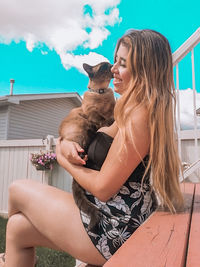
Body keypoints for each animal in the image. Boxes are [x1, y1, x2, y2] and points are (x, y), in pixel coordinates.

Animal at [58, 61, 115, 229]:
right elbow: (103, 118)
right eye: (104, 66)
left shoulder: (111, 108)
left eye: (109, 64)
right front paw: (111, 119)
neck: (102, 92)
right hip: (82, 128)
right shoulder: (92, 114)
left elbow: (113, 112)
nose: (111, 64)